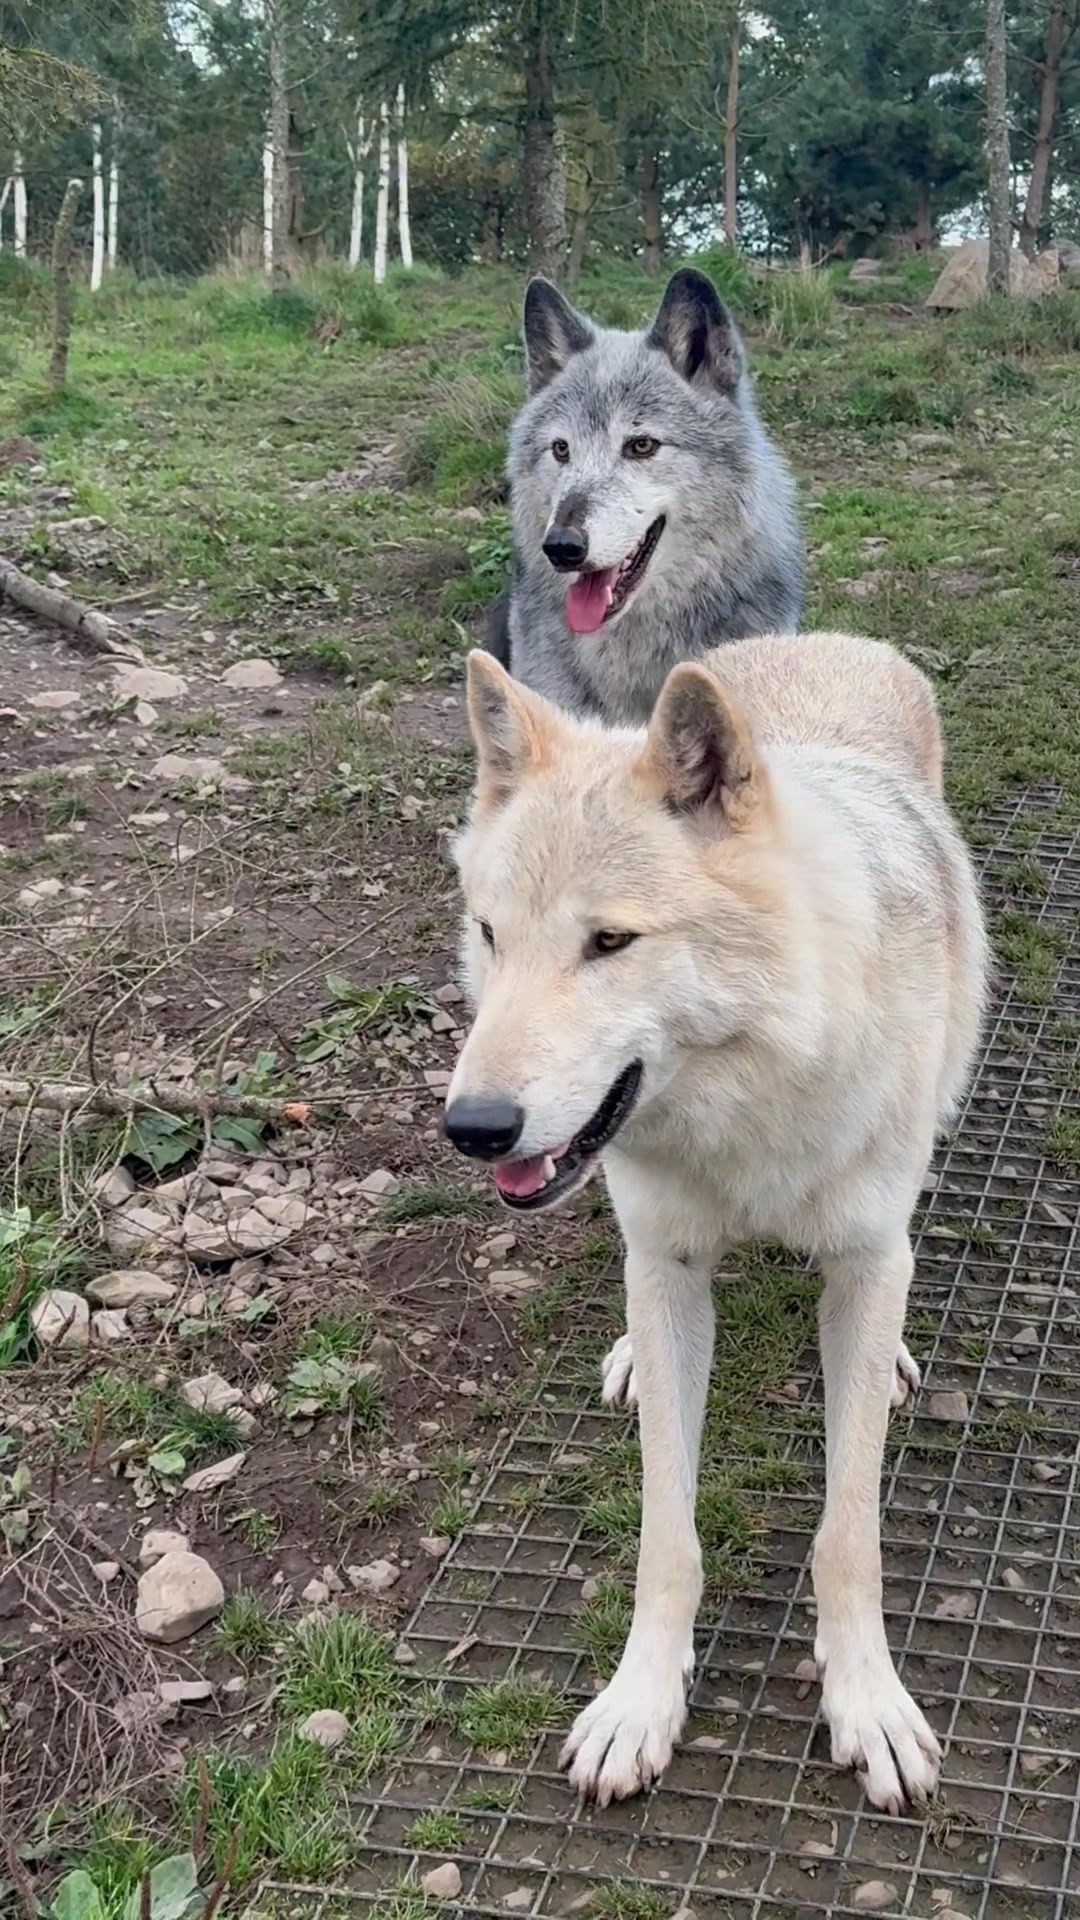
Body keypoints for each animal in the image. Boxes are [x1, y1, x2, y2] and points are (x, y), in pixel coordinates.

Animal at [444, 631, 989, 1812]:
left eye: (609, 942)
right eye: (492, 935)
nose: (472, 1127)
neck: (749, 1114)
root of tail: (820, 637)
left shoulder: (865, 1262)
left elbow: (847, 1531)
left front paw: (868, 1703)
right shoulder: (670, 1261)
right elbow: (668, 1535)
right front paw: (639, 1705)